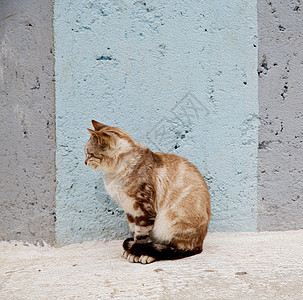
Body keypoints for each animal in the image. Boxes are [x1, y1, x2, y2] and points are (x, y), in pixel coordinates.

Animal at [85, 118, 211, 264]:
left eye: (89, 154)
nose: (85, 162)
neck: (113, 175)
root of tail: (200, 244)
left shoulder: (143, 210)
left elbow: (142, 237)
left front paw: (136, 253)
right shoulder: (129, 210)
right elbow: (134, 232)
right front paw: (131, 250)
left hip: (170, 222)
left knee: (174, 249)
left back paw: (149, 255)